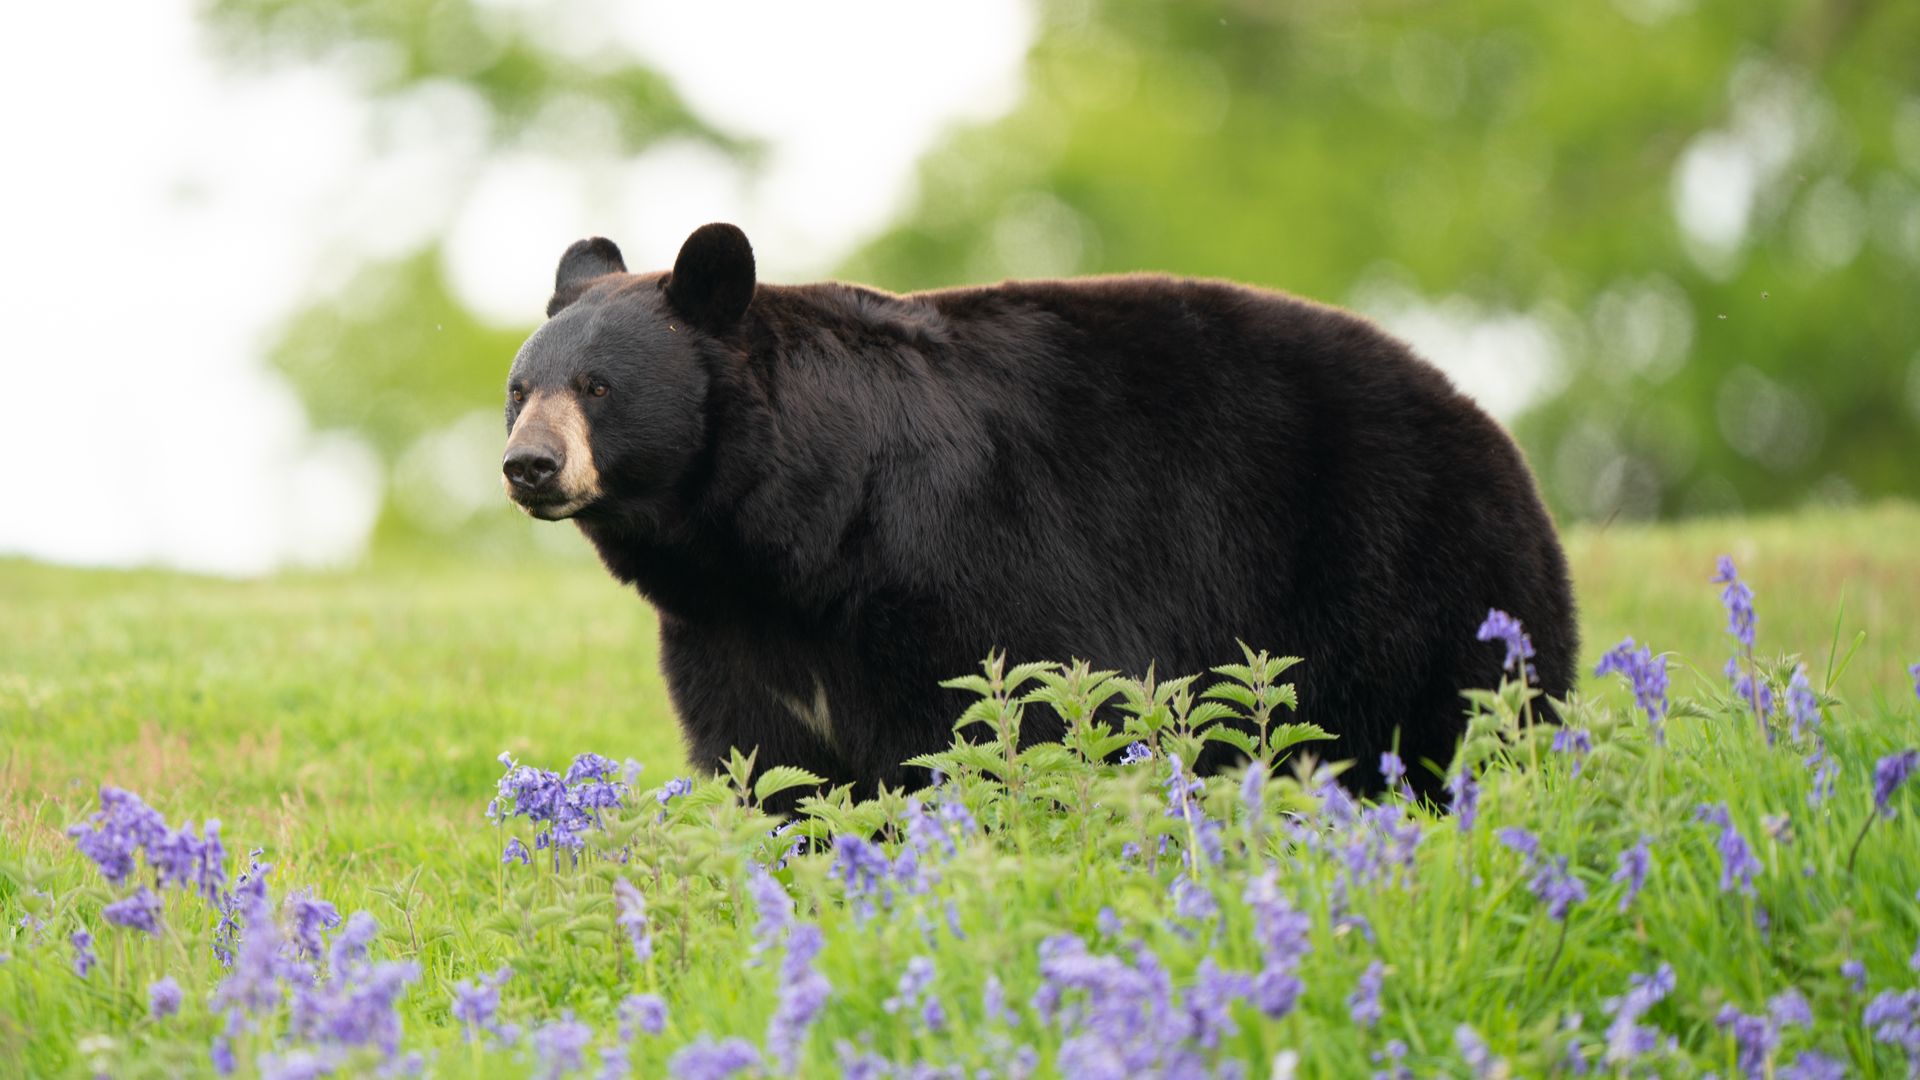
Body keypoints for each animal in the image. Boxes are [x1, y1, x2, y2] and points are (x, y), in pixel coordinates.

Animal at [501, 222, 1577, 802]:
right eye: (520, 387)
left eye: (597, 386)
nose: (528, 465)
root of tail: (1490, 429)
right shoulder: (729, 638)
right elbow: (776, 768)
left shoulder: (960, 560)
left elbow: (1005, 720)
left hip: (1408, 569)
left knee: (1459, 718)